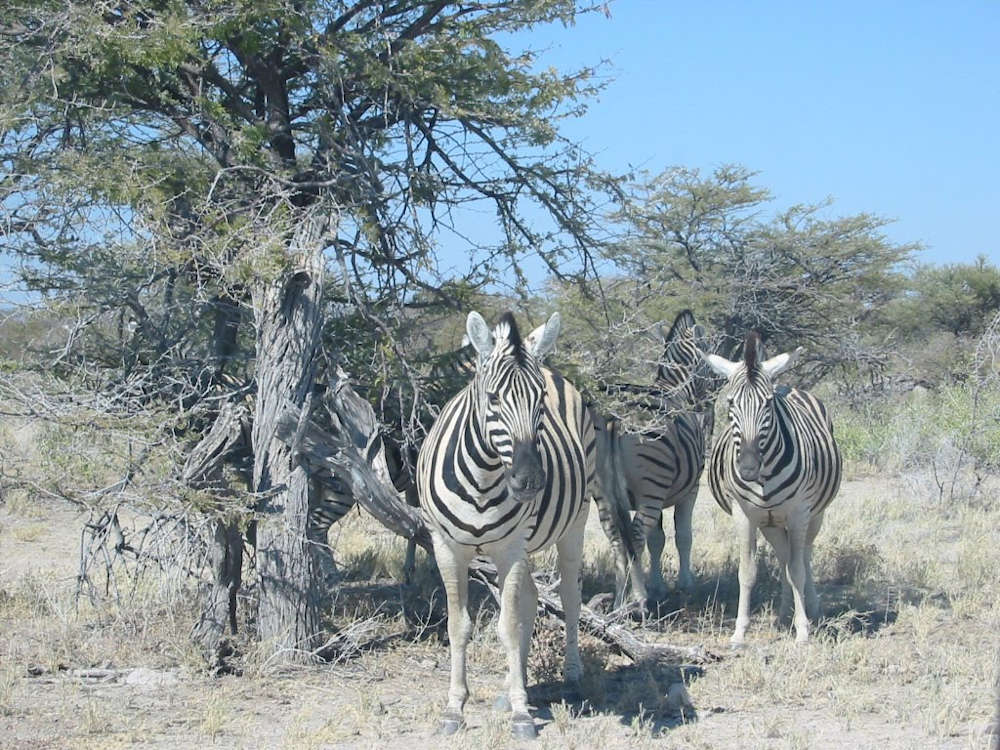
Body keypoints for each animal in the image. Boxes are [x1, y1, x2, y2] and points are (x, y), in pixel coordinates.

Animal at [416, 312, 592, 740]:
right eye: (493, 398)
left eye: (540, 400)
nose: (529, 481)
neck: (483, 476)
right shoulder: (447, 547)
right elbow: (459, 626)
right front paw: (455, 709)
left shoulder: (509, 547)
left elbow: (509, 626)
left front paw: (522, 715)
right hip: (525, 544)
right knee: (531, 597)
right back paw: (516, 686)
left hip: (574, 524)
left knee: (569, 597)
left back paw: (570, 676)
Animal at [704, 332, 844, 644]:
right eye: (730, 404)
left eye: (767, 404)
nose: (747, 469)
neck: (765, 475)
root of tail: (787, 385)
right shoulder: (744, 514)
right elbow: (747, 572)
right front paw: (739, 633)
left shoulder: (799, 512)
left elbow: (798, 570)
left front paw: (803, 631)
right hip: (770, 522)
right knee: (784, 558)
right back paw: (782, 615)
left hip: (814, 514)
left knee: (803, 556)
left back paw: (813, 610)